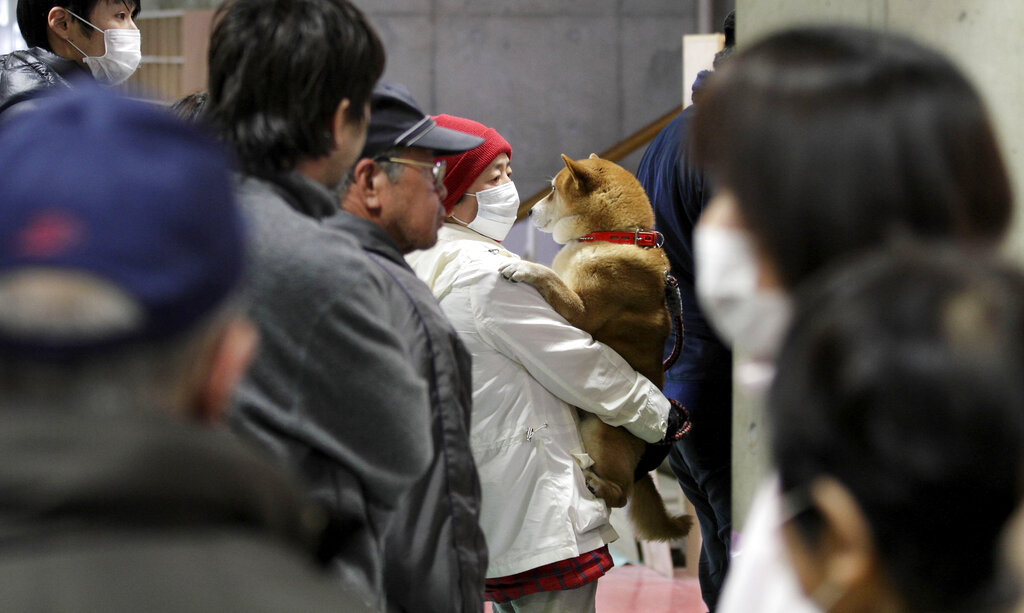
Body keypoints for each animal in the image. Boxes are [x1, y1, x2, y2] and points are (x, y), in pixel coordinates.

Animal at [499, 153, 692, 540]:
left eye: (553, 190)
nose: (529, 211)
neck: (613, 238)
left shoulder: (580, 314)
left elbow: (549, 277)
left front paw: (523, 265)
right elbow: (554, 274)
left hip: (601, 432)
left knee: (622, 496)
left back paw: (598, 486)